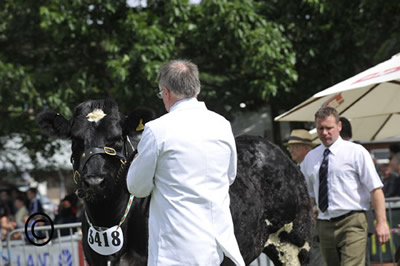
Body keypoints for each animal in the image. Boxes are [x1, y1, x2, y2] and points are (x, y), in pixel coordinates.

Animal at [37, 98, 312, 264]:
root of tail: (269, 145)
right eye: (76, 140)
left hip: (296, 242)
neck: (109, 218)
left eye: (116, 138)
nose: (94, 181)